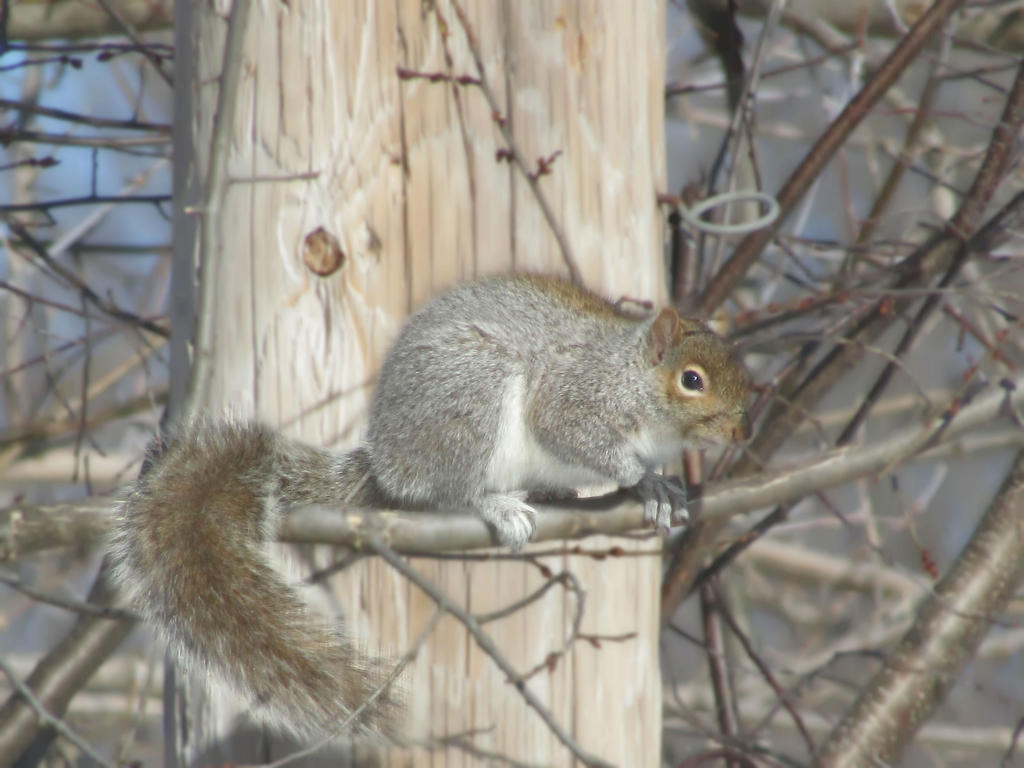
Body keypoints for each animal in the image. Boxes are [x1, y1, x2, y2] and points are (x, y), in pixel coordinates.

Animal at [105, 274, 753, 741]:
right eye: (692, 380)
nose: (742, 434)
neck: (629, 375)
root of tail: (387, 457)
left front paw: (665, 486)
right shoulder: (573, 397)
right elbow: (578, 436)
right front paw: (644, 479)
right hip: (471, 397)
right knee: (447, 488)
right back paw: (494, 503)